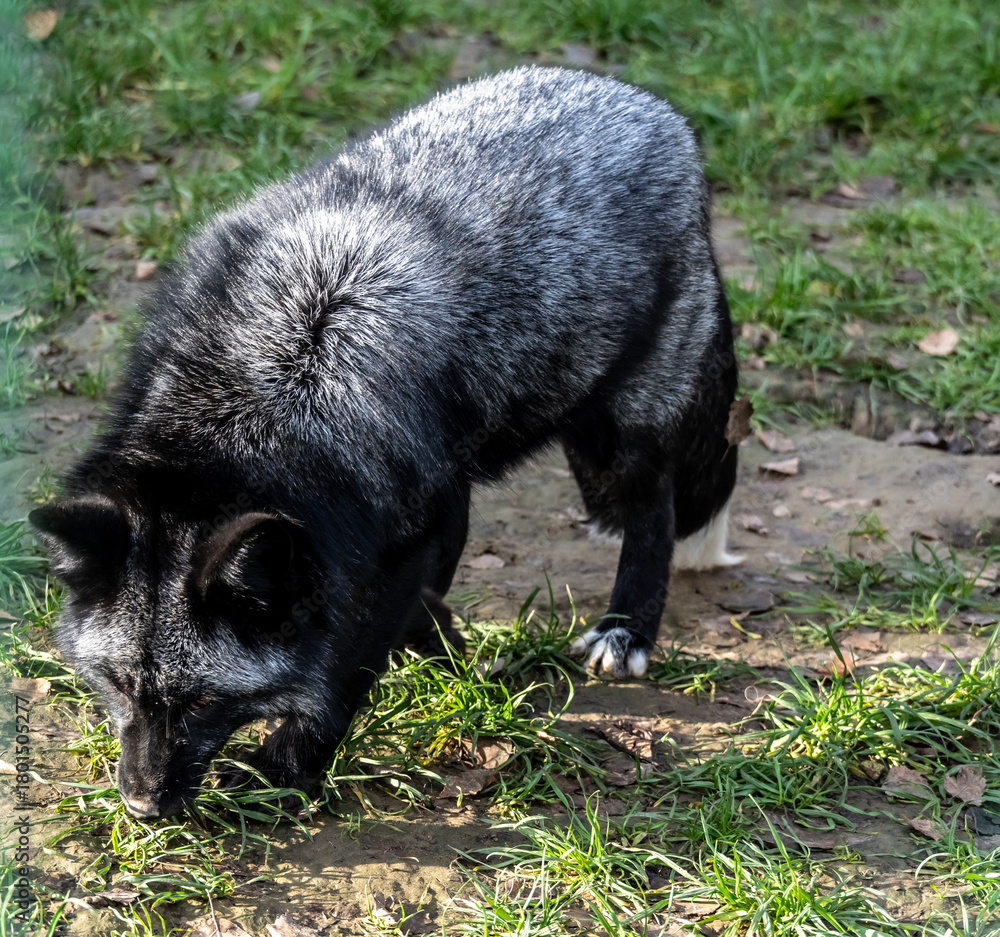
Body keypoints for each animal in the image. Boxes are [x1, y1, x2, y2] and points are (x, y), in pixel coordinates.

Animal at [30, 66, 740, 820]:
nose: (141, 806)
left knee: (655, 507)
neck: (247, 387)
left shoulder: (400, 533)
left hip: (615, 430)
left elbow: (346, 666)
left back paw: (628, 626)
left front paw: (285, 768)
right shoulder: (413, 507)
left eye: (200, 701)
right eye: (116, 683)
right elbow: (404, 608)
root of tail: (648, 105)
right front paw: (447, 655)